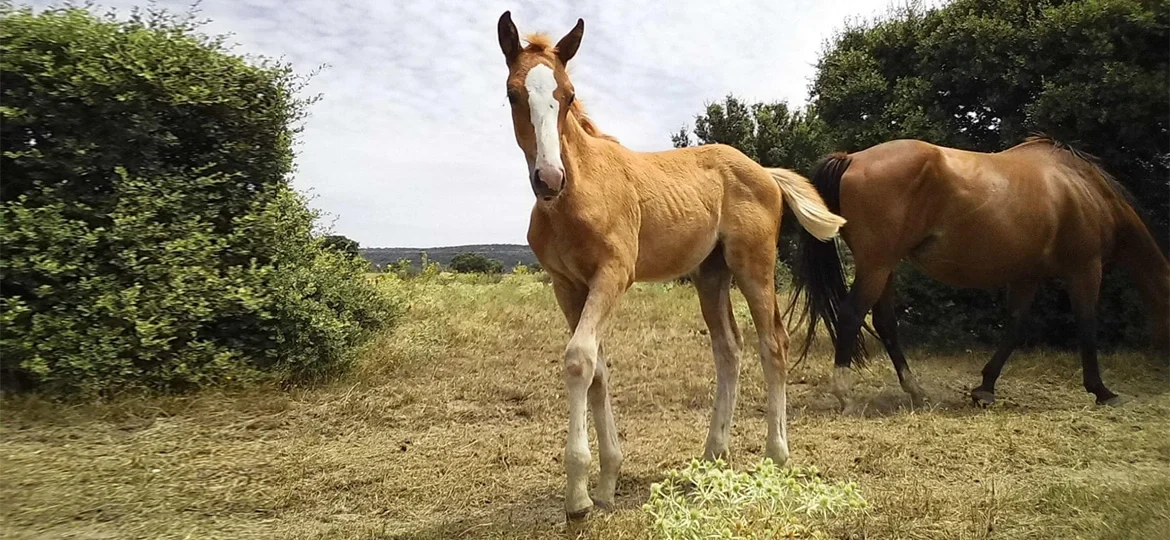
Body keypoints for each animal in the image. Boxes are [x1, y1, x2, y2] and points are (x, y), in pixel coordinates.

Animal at [496, 11, 851, 518]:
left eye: (567, 94)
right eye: (513, 93)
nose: (548, 178)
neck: (575, 196)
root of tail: (765, 171)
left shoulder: (613, 275)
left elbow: (579, 359)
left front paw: (578, 496)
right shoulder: (566, 284)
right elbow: (598, 368)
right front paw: (606, 483)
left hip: (753, 264)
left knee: (773, 343)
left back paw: (775, 455)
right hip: (710, 274)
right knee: (728, 348)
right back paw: (713, 455)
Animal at [786, 137, 1170, 411]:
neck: (1083, 189)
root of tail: (852, 158)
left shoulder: (1027, 276)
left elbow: (1015, 327)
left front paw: (985, 388)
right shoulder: (1085, 269)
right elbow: (1087, 327)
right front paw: (1102, 391)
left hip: (883, 266)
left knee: (884, 322)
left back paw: (916, 391)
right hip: (877, 265)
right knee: (853, 315)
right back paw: (846, 395)